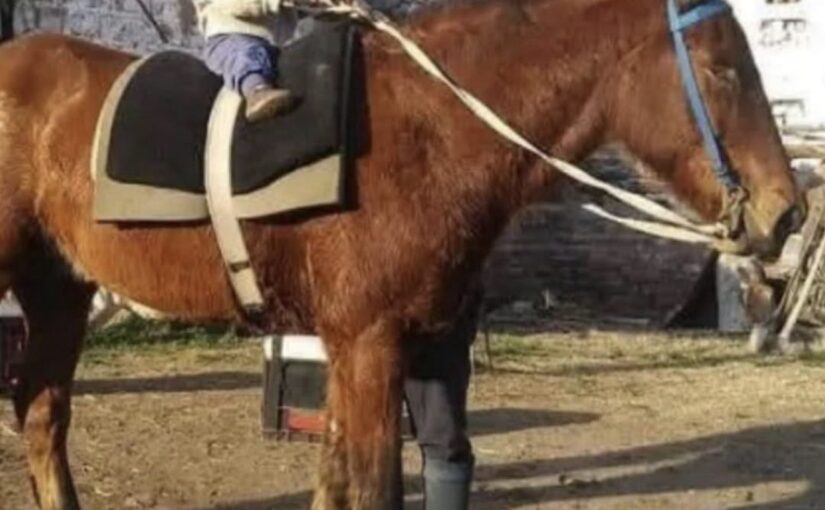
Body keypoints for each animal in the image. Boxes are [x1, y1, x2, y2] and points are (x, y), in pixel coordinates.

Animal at [0, 0, 804, 507]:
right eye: (721, 68)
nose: (787, 209)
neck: (426, 132)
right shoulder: (368, 343)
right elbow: (371, 487)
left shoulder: (383, 347)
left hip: (59, 291)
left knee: (42, 416)